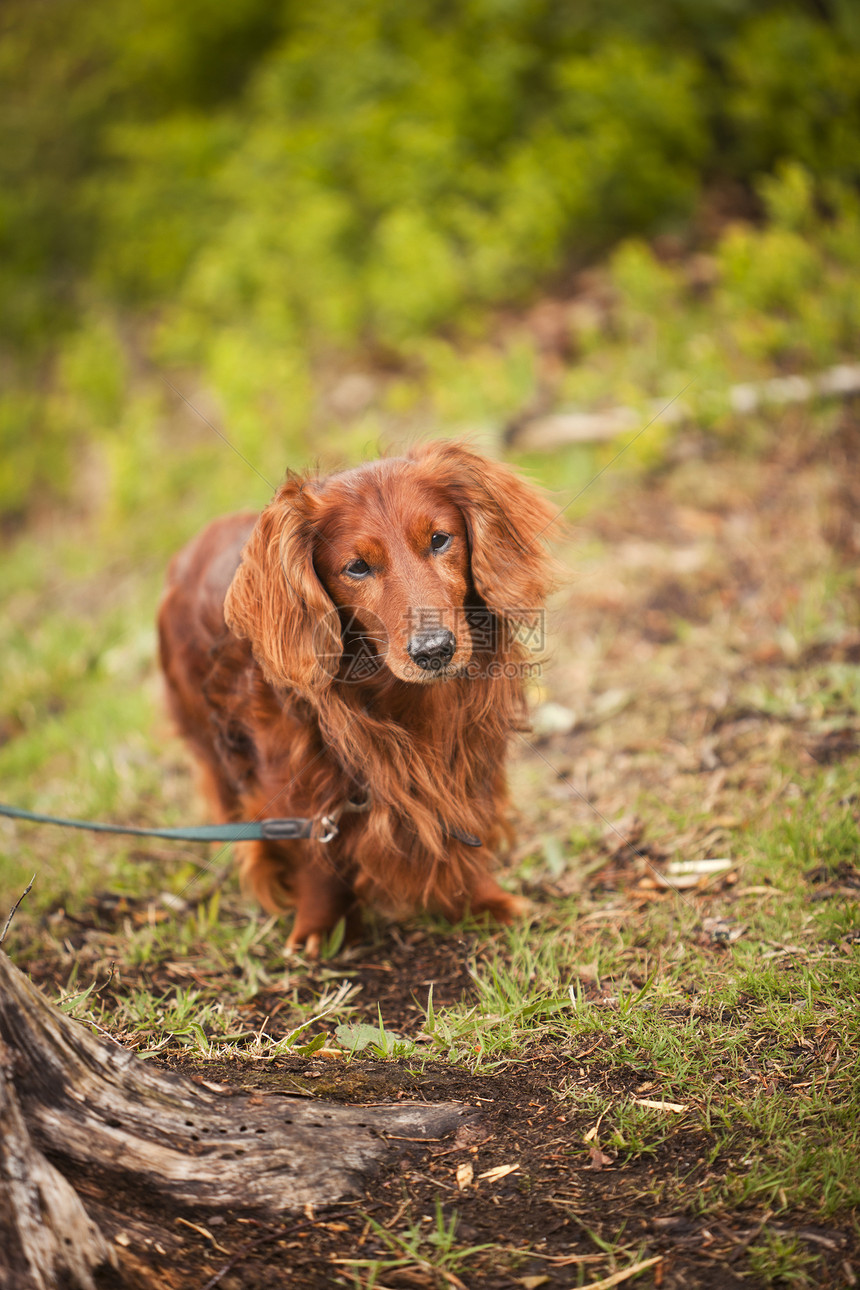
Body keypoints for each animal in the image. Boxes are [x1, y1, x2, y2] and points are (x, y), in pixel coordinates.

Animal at [157, 438, 554, 954]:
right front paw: (322, 928)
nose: (434, 651)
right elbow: (315, 859)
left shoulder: (465, 753)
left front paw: (482, 900)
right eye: (358, 567)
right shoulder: (296, 782)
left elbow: (464, 819)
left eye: (440, 539)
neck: (403, 700)